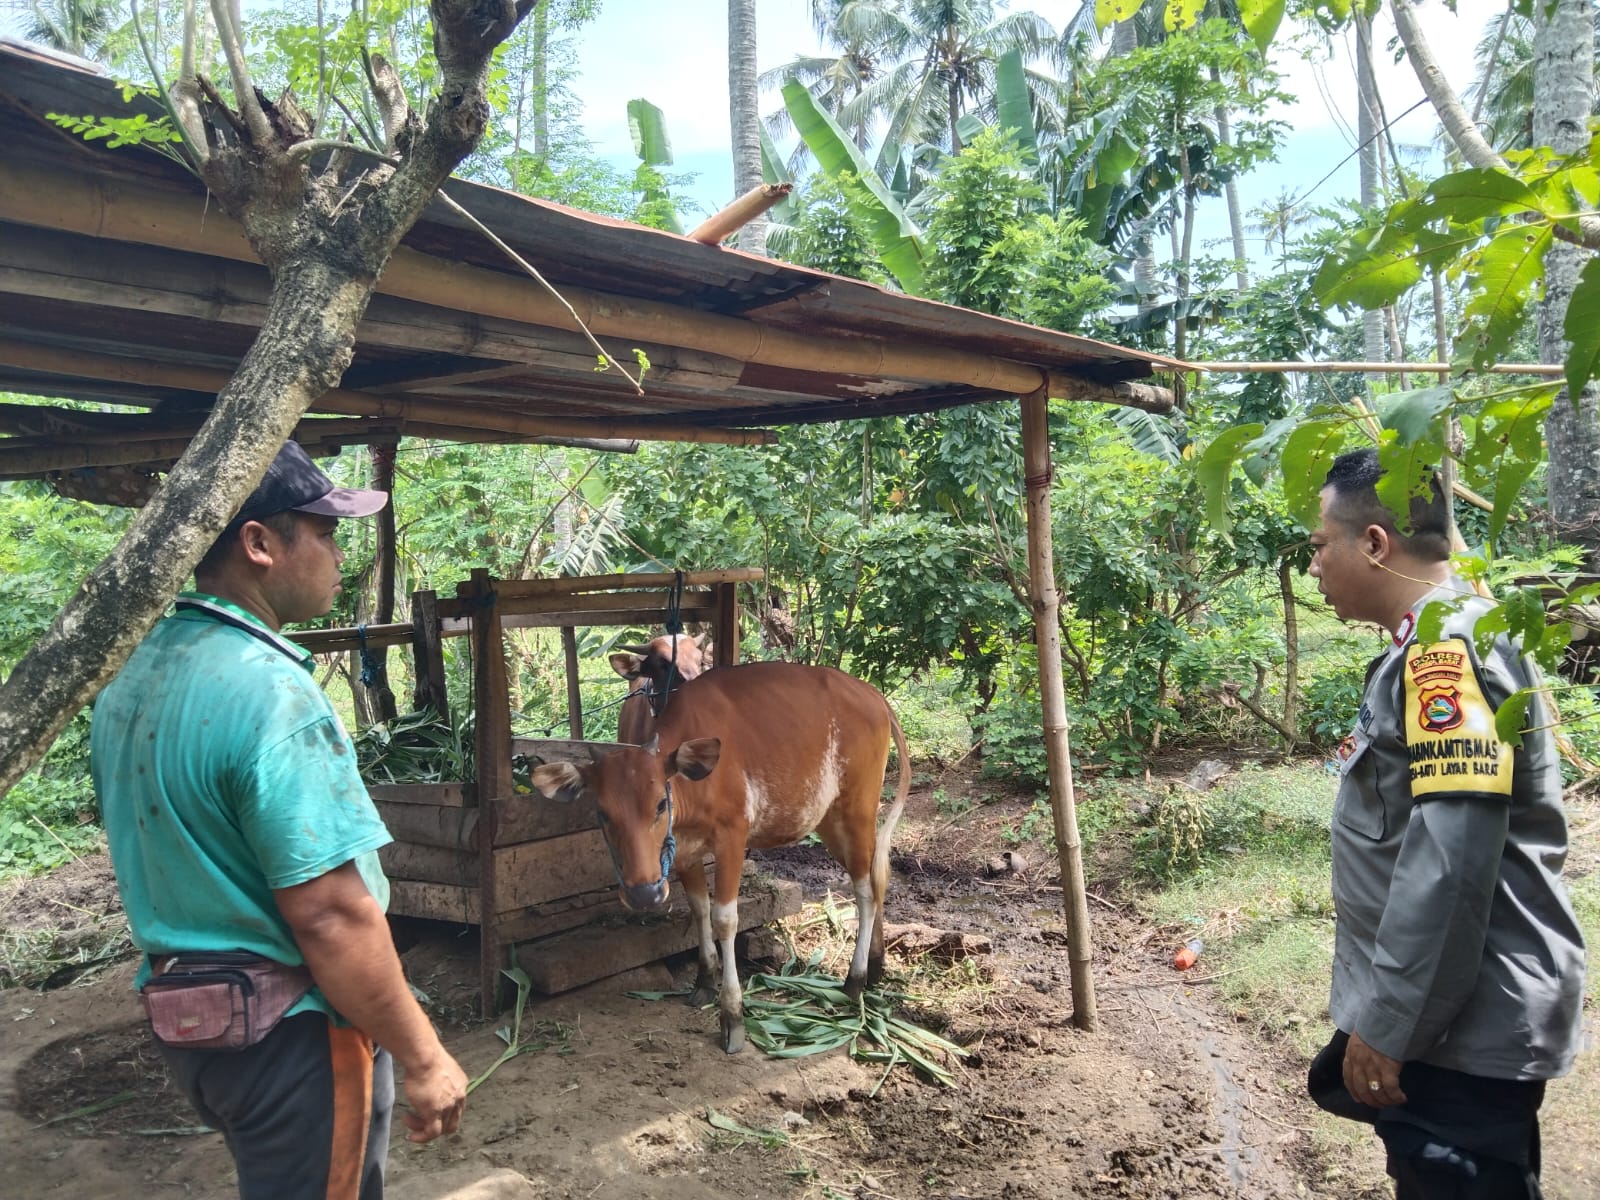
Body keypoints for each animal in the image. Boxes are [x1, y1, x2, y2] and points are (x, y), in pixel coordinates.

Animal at [531, 662, 908, 1056]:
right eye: (603, 814)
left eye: (660, 804)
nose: (644, 893)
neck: (694, 787)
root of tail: (872, 694)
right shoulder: (684, 851)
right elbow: (699, 910)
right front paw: (704, 980)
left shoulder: (732, 838)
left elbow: (724, 919)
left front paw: (732, 1015)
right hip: (829, 819)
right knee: (877, 880)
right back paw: (876, 965)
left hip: (858, 811)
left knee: (866, 891)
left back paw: (855, 979)